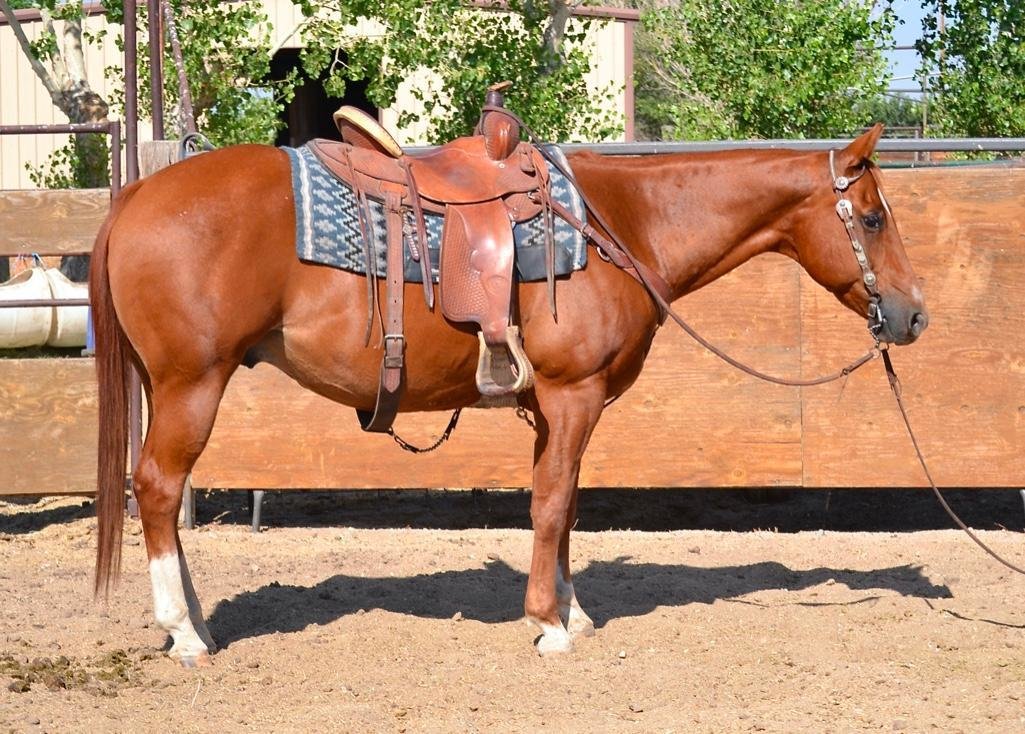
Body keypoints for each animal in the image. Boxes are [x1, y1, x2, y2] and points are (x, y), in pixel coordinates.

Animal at [89, 123, 927, 666]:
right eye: (872, 217)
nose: (914, 313)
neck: (622, 226)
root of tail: (135, 195)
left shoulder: (557, 409)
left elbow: (566, 503)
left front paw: (572, 611)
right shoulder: (571, 395)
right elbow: (551, 504)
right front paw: (548, 624)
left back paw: (194, 621)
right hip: (191, 383)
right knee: (157, 486)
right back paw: (185, 633)